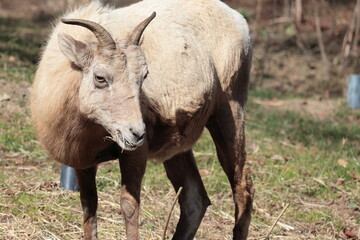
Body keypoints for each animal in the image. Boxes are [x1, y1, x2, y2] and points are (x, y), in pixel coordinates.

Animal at [32, 0, 255, 239]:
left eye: (143, 77)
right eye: (100, 78)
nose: (136, 133)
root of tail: (236, 18)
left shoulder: (135, 154)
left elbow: (129, 206)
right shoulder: (83, 162)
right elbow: (89, 206)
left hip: (229, 113)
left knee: (242, 188)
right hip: (177, 148)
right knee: (194, 199)